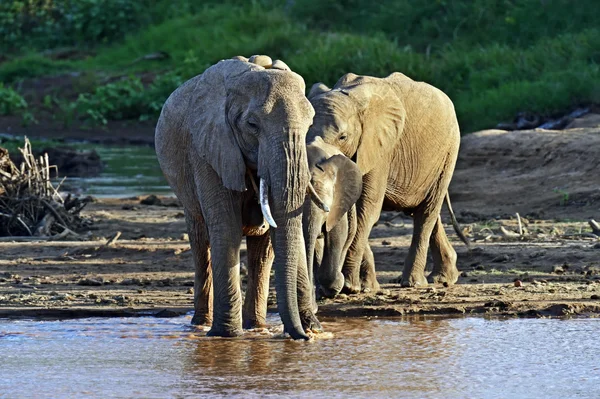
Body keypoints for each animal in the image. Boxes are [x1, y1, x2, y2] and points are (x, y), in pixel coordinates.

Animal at [310, 72, 468, 292]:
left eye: (343, 137)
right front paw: (366, 287)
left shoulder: (380, 149)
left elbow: (366, 208)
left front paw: (351, 287)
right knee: (422, 210)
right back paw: (442, 278)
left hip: (448, 151)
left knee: (426, 212)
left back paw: (413, 282)